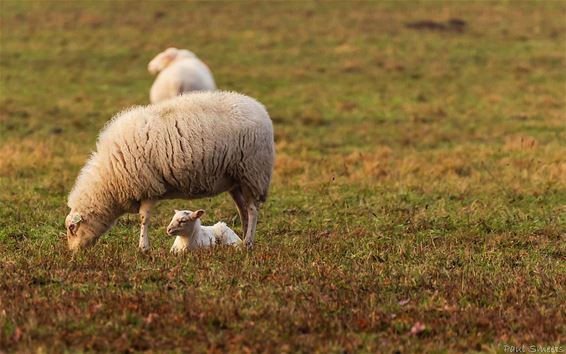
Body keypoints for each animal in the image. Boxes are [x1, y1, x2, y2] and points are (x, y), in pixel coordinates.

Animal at [65, 90, 276, 252]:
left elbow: (144, 218)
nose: (74, 253)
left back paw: (248, 243)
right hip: (236, 180)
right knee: (243, 210)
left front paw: (143, 248)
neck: (109, 181)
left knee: (252, 210)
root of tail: (260, 109)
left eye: (72, 228)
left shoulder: (148, 185)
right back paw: (244, 242)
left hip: (252, 172)